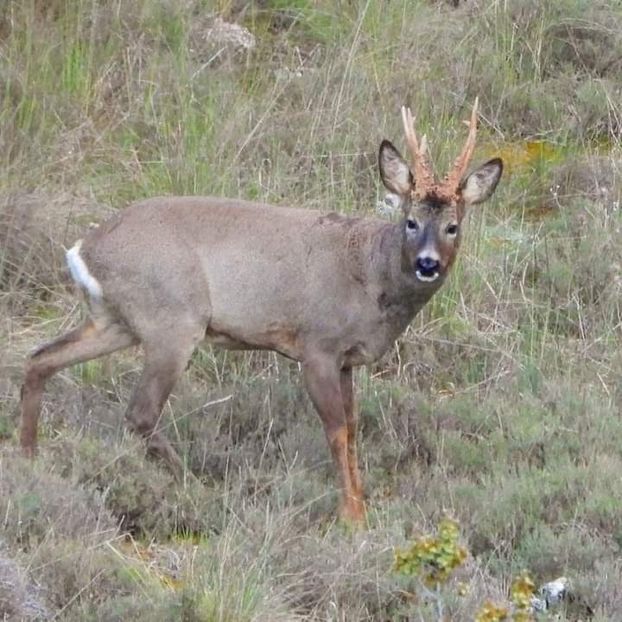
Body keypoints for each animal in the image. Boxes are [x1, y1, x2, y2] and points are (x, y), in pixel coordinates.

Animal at [22, 100, 504, 524]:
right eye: (411, 221)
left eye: (453, 226)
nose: (428, 263)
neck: (370, 272)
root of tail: (83, 248)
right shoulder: (317, 345)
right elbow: (336, 430)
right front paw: (351, 516)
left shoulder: (346, 360)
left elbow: (353, 427)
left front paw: (361, 504)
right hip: (173, 321)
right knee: (140, 412)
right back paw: (196, 487)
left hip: (115, 321)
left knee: (41, 358)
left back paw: (28, 456)